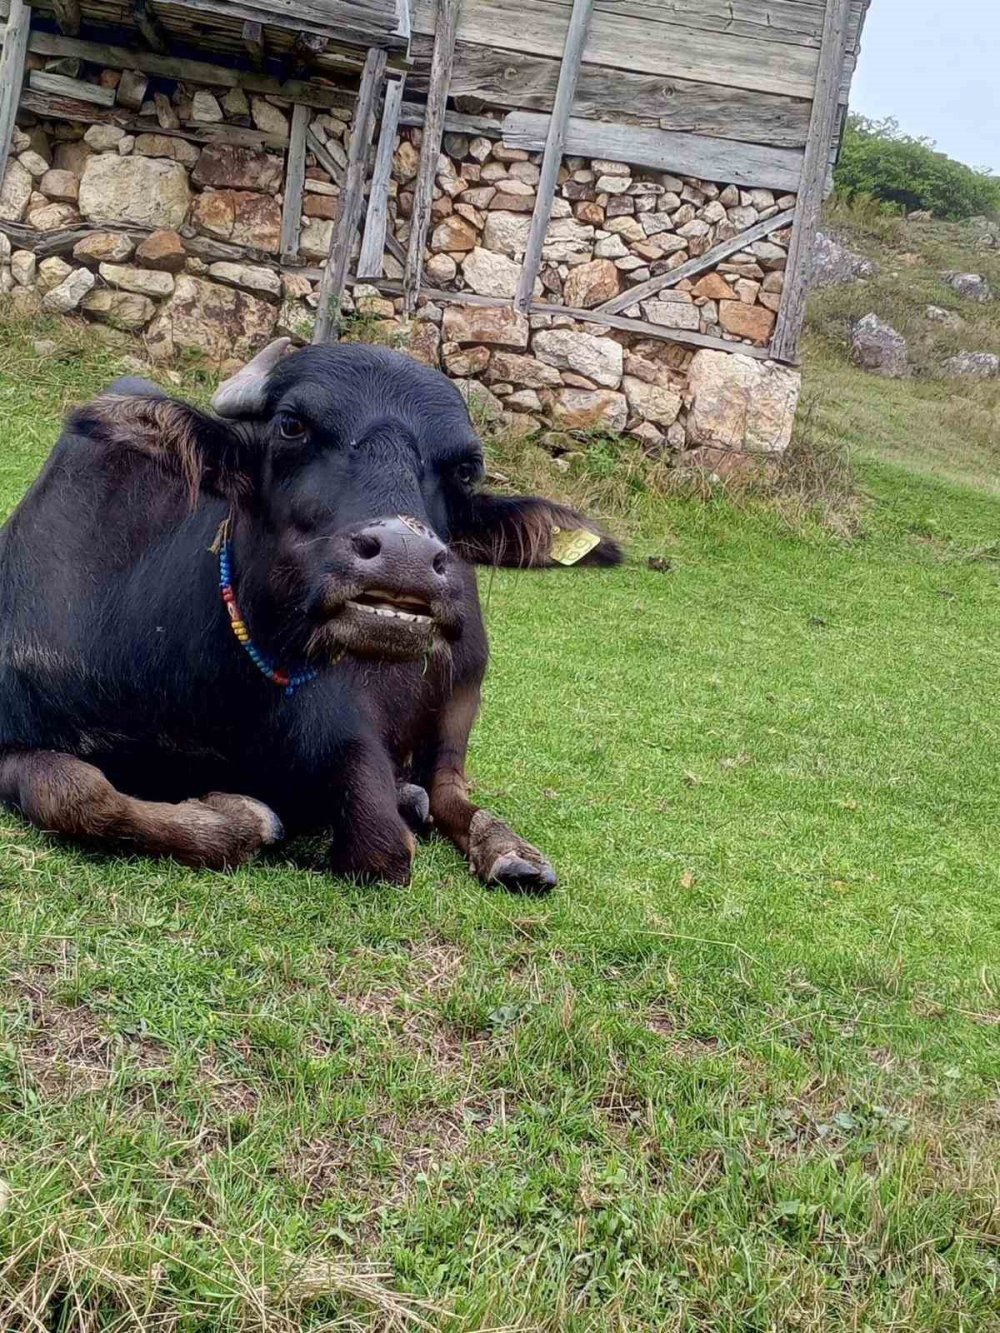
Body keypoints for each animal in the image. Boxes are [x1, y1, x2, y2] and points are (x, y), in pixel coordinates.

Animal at [0, 338, 624, 890]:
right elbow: (78, 795)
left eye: (466, 469)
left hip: (464, 690)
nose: (405, 557)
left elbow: (381, 849)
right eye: (292, 425)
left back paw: (509, 853)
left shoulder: (351, 733)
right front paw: (242, 816)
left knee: (450, 787)